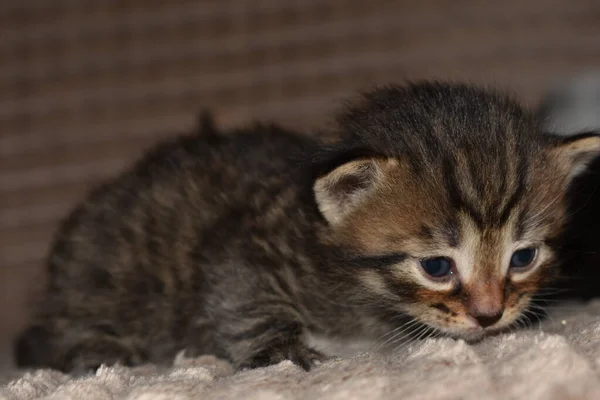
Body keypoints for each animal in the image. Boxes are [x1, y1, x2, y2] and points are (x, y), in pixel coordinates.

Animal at [12, 81, 600, 372]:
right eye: (436, 266)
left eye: (522, 257)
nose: (489, 315)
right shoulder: (242, 243)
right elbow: (246, 297)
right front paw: (281, 350)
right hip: (101, 277)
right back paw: (95, 349)